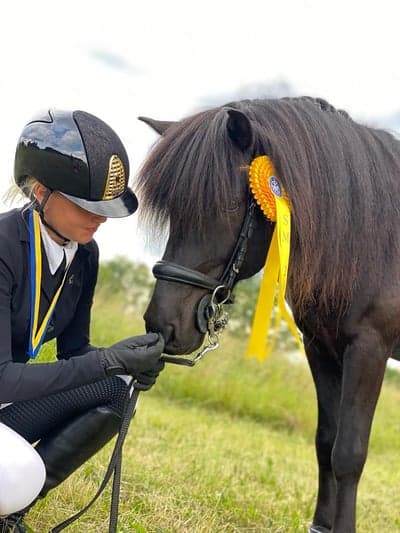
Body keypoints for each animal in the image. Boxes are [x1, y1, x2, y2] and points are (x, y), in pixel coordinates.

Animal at [134, 96, 400, 532]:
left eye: (226, 205)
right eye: (173, 209)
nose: (163, 324)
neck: (374, 237)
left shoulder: (369, 348)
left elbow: (349, 452)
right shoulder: (321, 347)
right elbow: (325, 440)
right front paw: (321, 525)